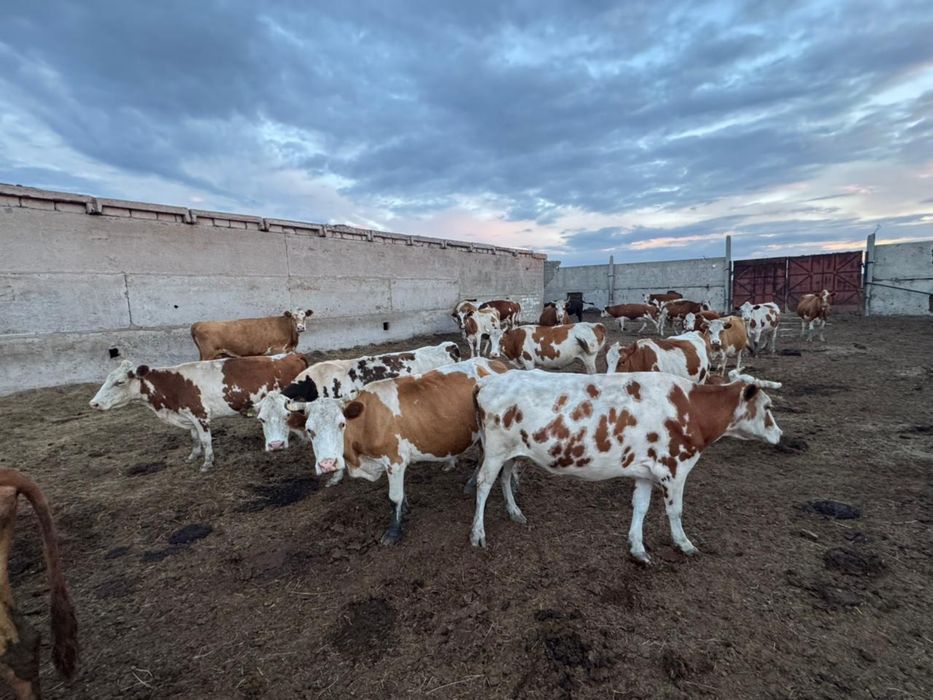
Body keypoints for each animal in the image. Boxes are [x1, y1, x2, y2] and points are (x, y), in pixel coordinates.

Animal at [90, 354, 307, 471]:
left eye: (119, 382)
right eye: (107, 379)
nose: (94, 403)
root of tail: (290, 354)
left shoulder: (200, 415)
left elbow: (205, 440)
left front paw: (207, 463)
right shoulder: (188, 417)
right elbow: (194, 438)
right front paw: (193, 456)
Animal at [285, 358, 511, 544]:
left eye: (341, 424)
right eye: (309, 430)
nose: (327, 464)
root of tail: (495, 363)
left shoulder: (394, 460)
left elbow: (393, 497)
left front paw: (393, 531)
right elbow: (401, 494)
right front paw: (405, 508)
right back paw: (471, 483)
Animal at [468, 370, 782, 561]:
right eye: (768, 407)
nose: (780, 435)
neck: (691, 408)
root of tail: (489, 380)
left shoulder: (646, 471)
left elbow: (640, 507)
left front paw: (638, 548)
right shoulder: (674, 469)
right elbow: (675, 511)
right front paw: (684, 544)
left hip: (513, 452)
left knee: (505, 478)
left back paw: (515, 512)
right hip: (495, 450)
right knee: (484, 484)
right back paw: (478, 533)